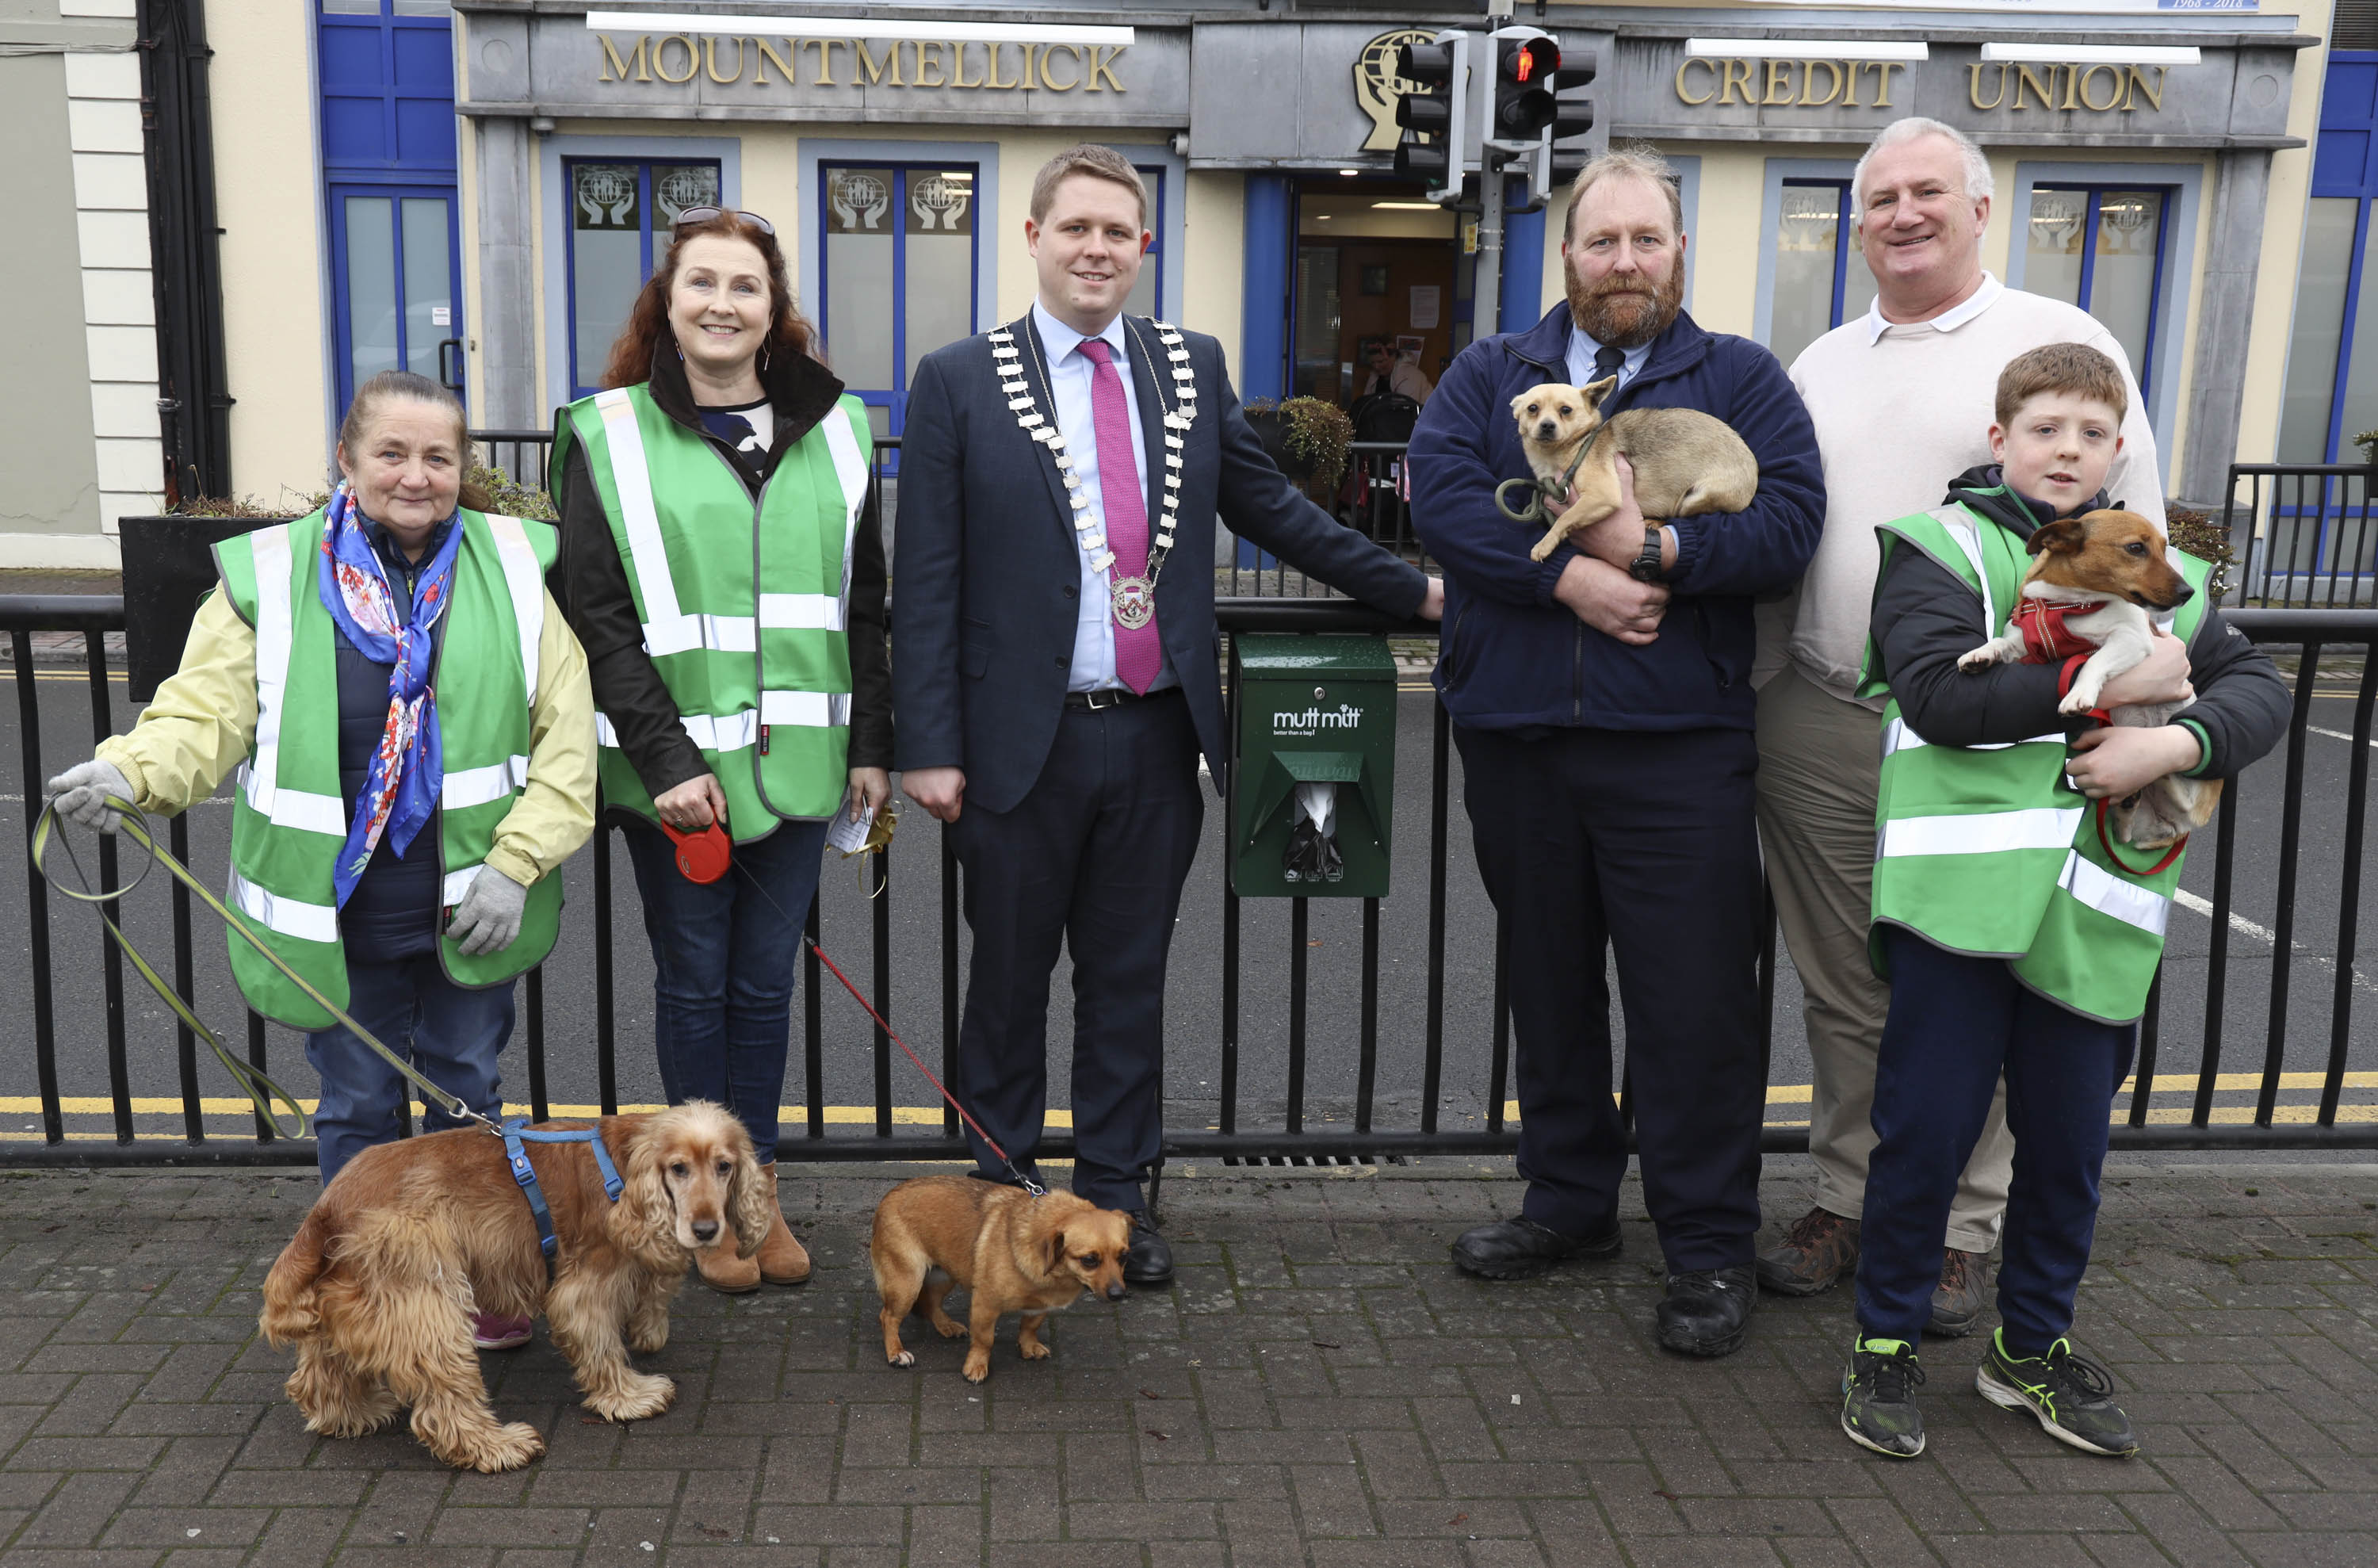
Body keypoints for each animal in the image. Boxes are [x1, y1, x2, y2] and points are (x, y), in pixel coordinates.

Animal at [262, 1103, 766, 1474]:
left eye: (724, 1166)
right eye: (678, 1169)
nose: (706, 1230)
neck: (625, 1166)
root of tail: (327, 1207)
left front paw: (649, 1326)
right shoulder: (586, 1283)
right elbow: (600, 1343)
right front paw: (630, 1397)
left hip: (355, 1298)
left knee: (316, 1372)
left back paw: (354, 1413)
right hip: (429, 1304)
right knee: (444, 1403)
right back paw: (497, 1446)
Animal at [875, 1180, 1132, 1389]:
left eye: (1123, 1257)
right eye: (1089, 1260)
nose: (1119, 1295)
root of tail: (890, 1194)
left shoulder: (1039, 1306)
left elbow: (1029, 1327)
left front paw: (1028, 1347)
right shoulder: (985, 1305)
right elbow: (985, 1340)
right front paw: (976, 1366)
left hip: (945, 1274)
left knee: (930, 1303)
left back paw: (947, 1326)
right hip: (907, 1283)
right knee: (888, 1317)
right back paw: (896, 1353)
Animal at [1512, 378, 1760, 564]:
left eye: (1566, 410)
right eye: (1532, 409)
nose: (1547, 425)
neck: (1577, 445)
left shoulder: (1602, 496)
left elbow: (1566, 517)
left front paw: (1545, 544)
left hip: (1695, 498)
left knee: (1679, 515)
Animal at [1959, 507, 2216, 847]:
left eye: (2164, 548)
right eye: (2136, 548)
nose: (2188, 593)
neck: (2067, 603)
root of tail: (2177, 828)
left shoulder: (2132, 638)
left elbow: (2093, 662)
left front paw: (2077, 695)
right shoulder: (2021, 645)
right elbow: (2000, 644)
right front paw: (1980, 655)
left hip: (2178, 770)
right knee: (2124, 828)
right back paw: (2128, 804)